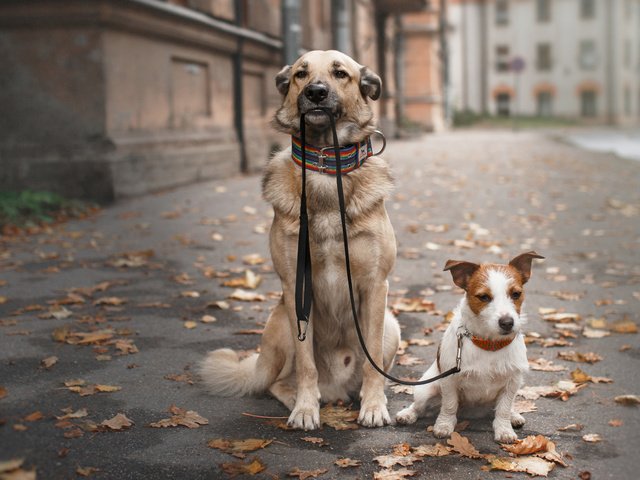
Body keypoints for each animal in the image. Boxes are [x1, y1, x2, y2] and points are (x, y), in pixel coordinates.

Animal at [200, 50, 400, 430]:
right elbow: (306, 365)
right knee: (277, 381)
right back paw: (299, 398)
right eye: (300, 74)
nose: (316, 93)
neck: (325, 165)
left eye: (340, 73)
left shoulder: (375, 287)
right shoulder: (296, 286)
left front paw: (374, 406)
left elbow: (373, 364)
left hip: (390, 325)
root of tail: (337, 388)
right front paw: (306, 408)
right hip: (281, 320)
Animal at [396, 251, 544, 442]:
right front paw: (444, 425)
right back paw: (407, 414)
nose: (507, 323)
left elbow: (503, 409)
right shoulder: (449, 381)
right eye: (484, 297)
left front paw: (504, 429)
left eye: (516, 294)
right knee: (418, 406)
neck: (489, 344)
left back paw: (514, 415)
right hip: (426, 389)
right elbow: (449, 405)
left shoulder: (512, 382)